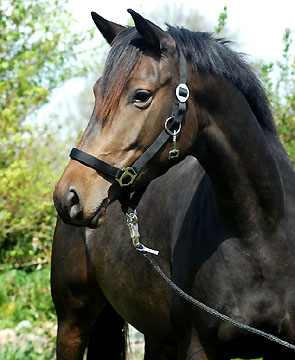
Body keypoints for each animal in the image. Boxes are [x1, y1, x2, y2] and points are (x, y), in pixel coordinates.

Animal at [52, 8, 295, 360]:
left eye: (141, 95)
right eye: (97, 92)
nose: (68, 196)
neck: (261, 233)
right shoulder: (197, 346)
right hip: (72, 322)